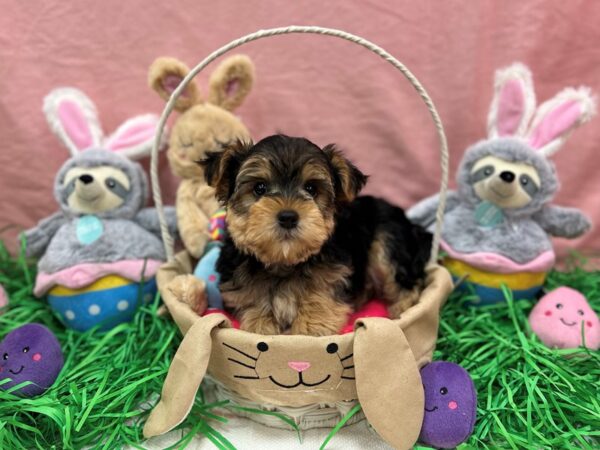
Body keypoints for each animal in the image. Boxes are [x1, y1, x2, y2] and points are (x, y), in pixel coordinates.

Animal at [202, 135, 432, 336]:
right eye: (259, 188)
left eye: (311, 188)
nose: (288, 217)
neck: (284, 262)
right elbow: (254, 305)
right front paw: (260, 323)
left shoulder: (333, 276)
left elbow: (319, 299)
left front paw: (310, 326)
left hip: (389, 240)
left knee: (406, 279)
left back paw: (402, 310)